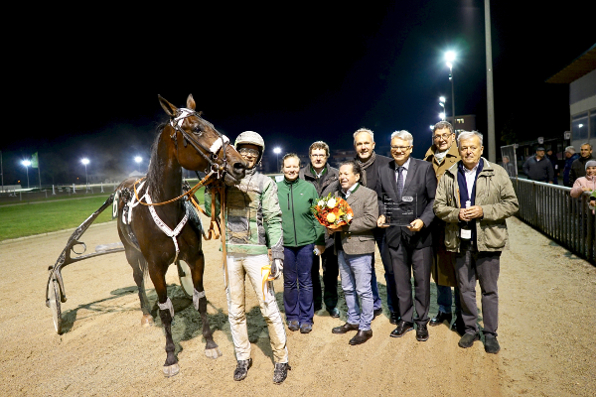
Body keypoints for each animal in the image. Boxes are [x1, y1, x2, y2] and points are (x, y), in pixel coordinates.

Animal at [114, 94, 244, 376]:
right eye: (196, 129)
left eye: (212, 124)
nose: (239, 164)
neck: (166, 207)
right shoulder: (155, 267)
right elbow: (164, 310)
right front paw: (170, 356)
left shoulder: (196, 258)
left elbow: (201, 299)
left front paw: (210, 343)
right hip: (131, 253)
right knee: (138, 280)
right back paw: (145, 314)